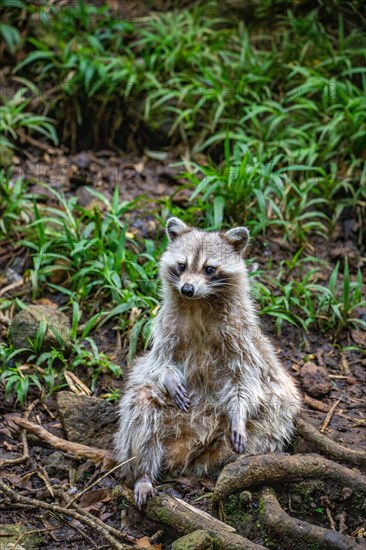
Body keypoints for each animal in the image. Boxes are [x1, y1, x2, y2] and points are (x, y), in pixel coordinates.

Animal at [116, 218, 302, 506]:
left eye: (209, 269)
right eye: (182, 265)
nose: (187, 289)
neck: (199, 304)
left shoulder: (241, 337)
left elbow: (243, 378)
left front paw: (239, 412)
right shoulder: (165, 326)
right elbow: (158, 362)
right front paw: (169, 376)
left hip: (268, 411)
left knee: (274, 414)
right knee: (141, 408)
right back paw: (143, 472)